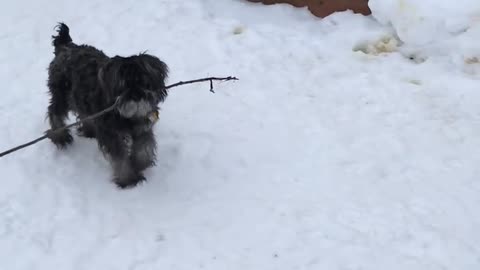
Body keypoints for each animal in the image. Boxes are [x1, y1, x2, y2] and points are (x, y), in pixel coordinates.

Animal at [45, 22, 169, 188]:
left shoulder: (143, 128)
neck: (128, 117)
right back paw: (60, 137)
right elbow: (120, 159)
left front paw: (140, 165)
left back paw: (90, 130)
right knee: (54, 112)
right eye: (123, 86)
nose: (136, 96)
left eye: (143, 81)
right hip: (62, 95)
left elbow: (144, 148)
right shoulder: (113, 135)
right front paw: (128, 179)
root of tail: (66, 46)